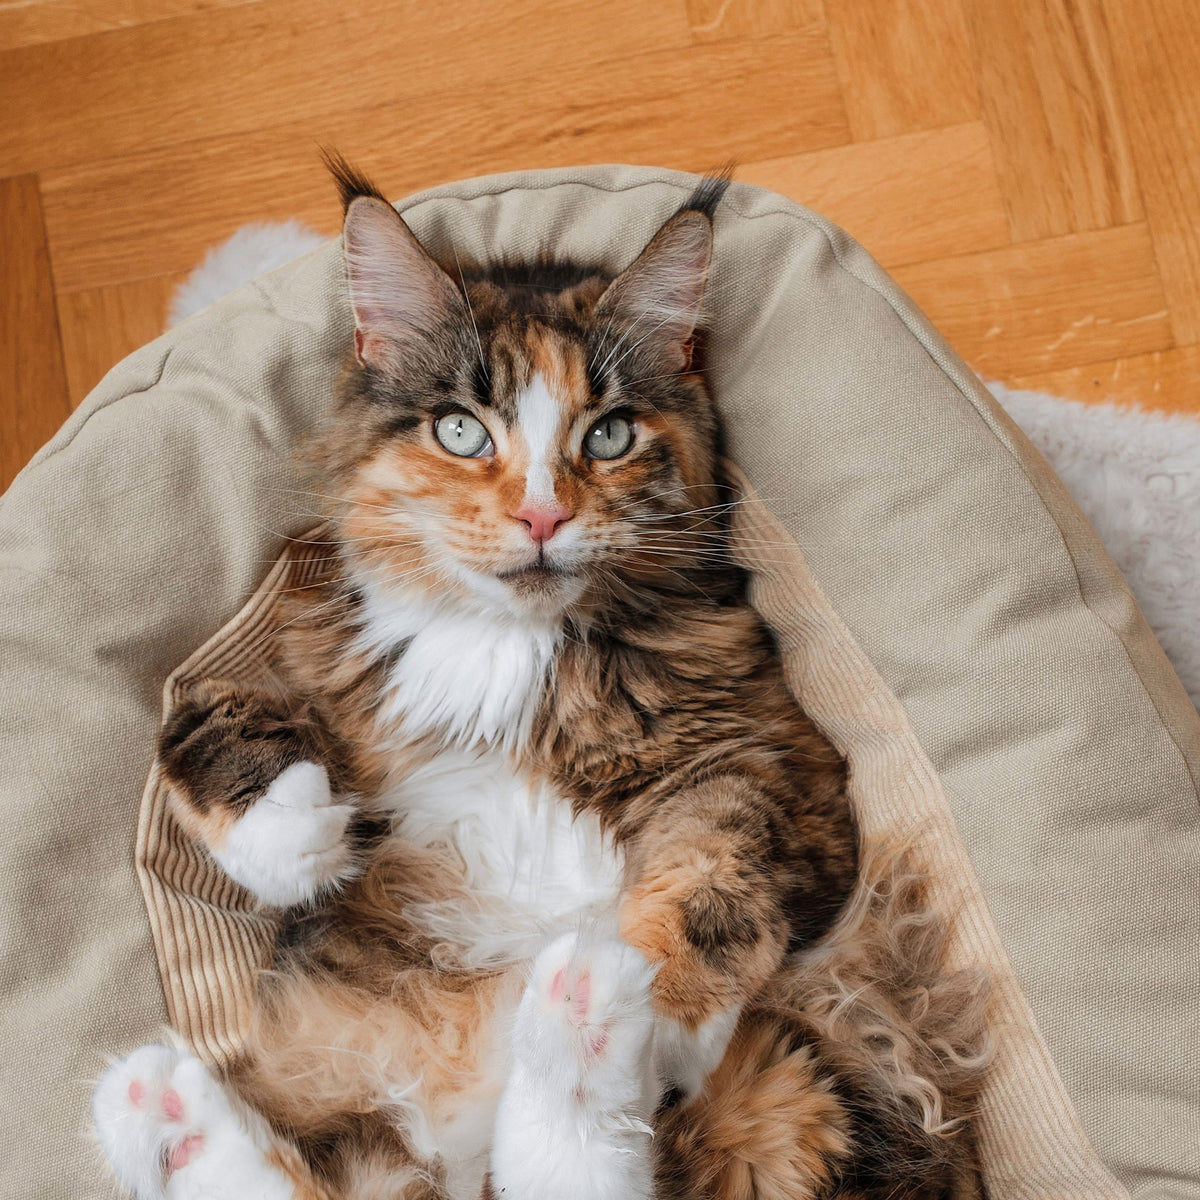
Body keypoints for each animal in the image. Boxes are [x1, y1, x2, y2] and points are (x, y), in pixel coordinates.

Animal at [87, 162, 984, 1200]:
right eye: (461, 430)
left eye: (610, 436)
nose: (543, 517)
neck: (505, 650)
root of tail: (456, 1154)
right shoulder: (286, 654)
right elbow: (201, 723)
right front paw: (294, 834)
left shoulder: (770, 760)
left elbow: (717, 877)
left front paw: (662, 1008)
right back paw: (164, 1109)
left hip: (810, 1079)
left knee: (596, 1173)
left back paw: (587, 1015)